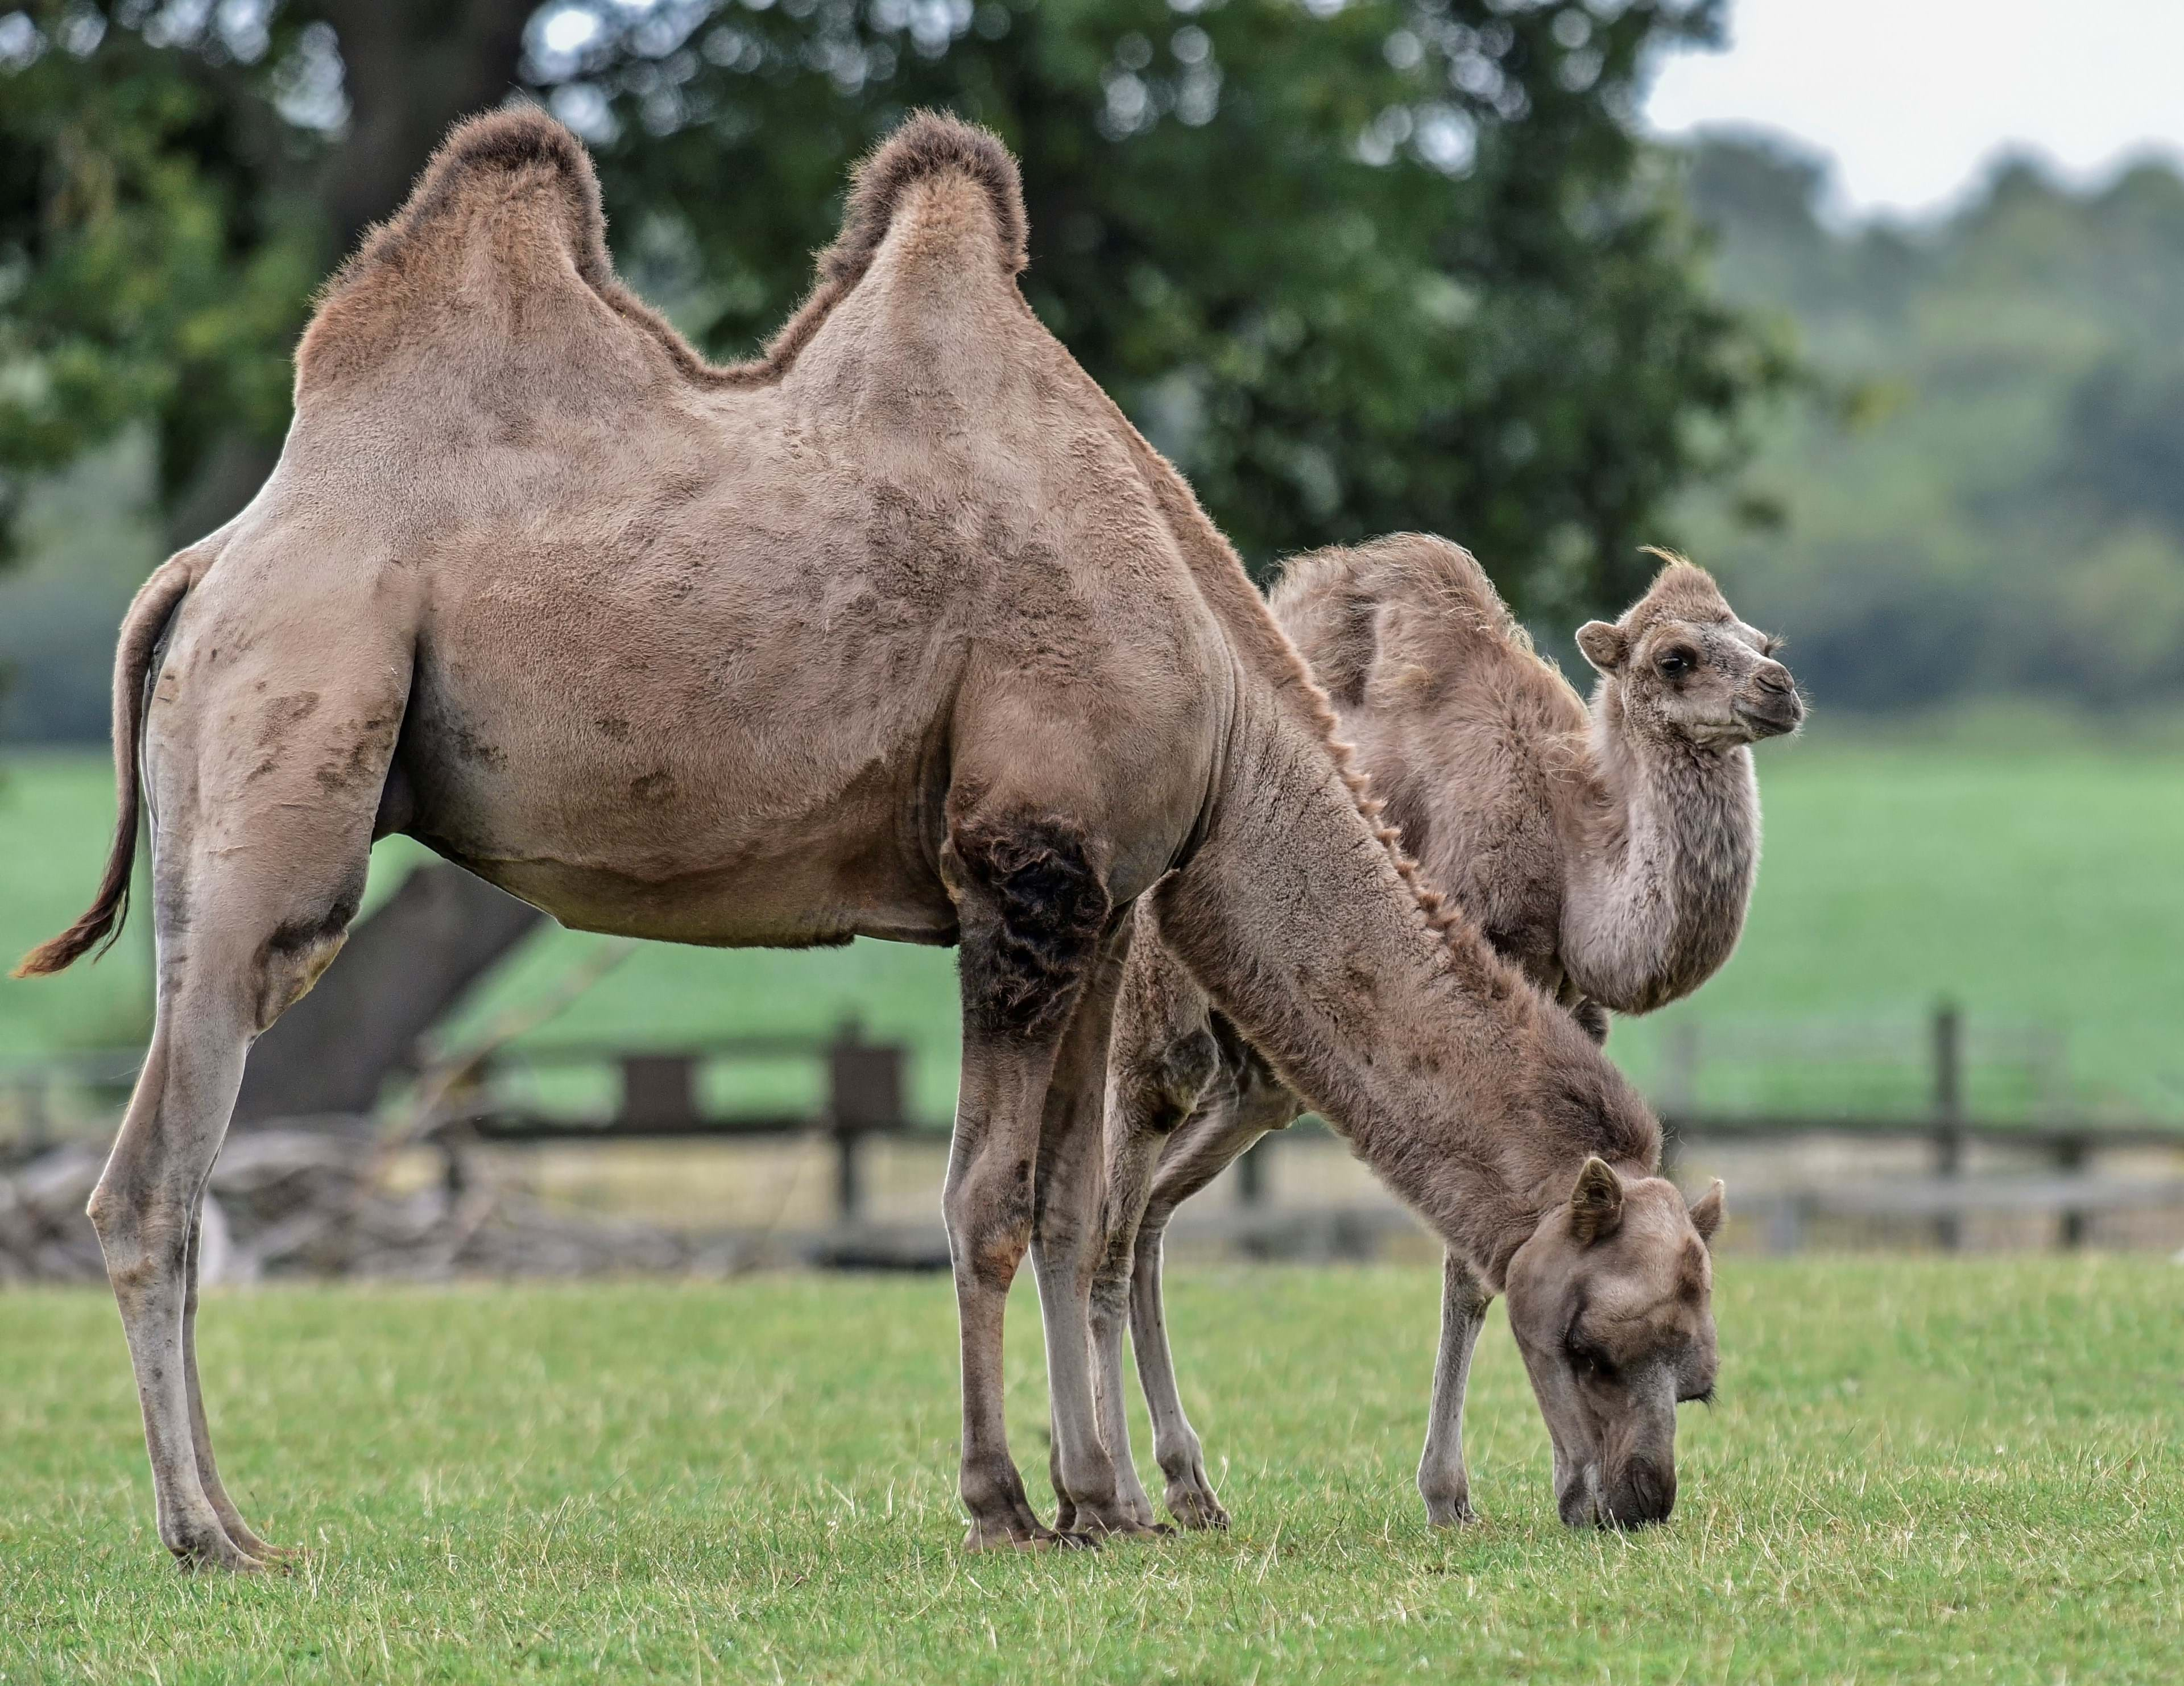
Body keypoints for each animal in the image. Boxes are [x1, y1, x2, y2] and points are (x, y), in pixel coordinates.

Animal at [21, 111, 1720, 1572]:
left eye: (1699, 1367)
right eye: (1604, 1340)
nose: (1637, 1499)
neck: (1229, 696)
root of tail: (205, 564)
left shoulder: (1109, 903)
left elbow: (1076, 1211)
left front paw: (1107, 1501)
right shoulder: (1021, 876)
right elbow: (981, 1201)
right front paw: (1003, 1502)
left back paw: (228, 1519)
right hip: (286, 759)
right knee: (151, 1177)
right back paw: (209, 1534)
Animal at [1101, 532, 1800, 1537]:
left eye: (1758, 637)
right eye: (1677, 657)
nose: (1780, 690)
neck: (1568, 841)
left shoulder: (1569, 1005)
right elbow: (1469, 1271)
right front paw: (1449, 1493)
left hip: (1258, 1086)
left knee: (1155, 1213)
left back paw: (1190, 1485)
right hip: (1156, 1026)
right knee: (1113, 1214)